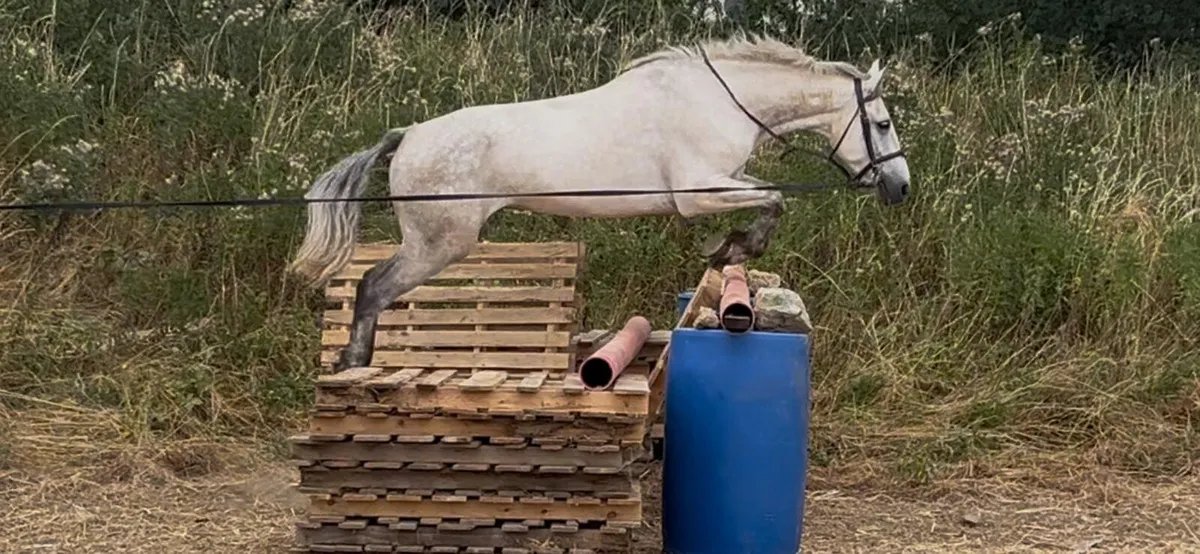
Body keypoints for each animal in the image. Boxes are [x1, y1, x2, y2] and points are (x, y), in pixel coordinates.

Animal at [287, 35, 910, 371]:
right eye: (881, 124)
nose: (900, 187)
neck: (722, 100)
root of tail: (409, 136)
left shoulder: (726, 177)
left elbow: (766, 196)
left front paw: (726, 249)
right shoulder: (698, 191)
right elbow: (775, 201)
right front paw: (732, 247)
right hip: (438, 244)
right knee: (373, 286)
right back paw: (352, 364)